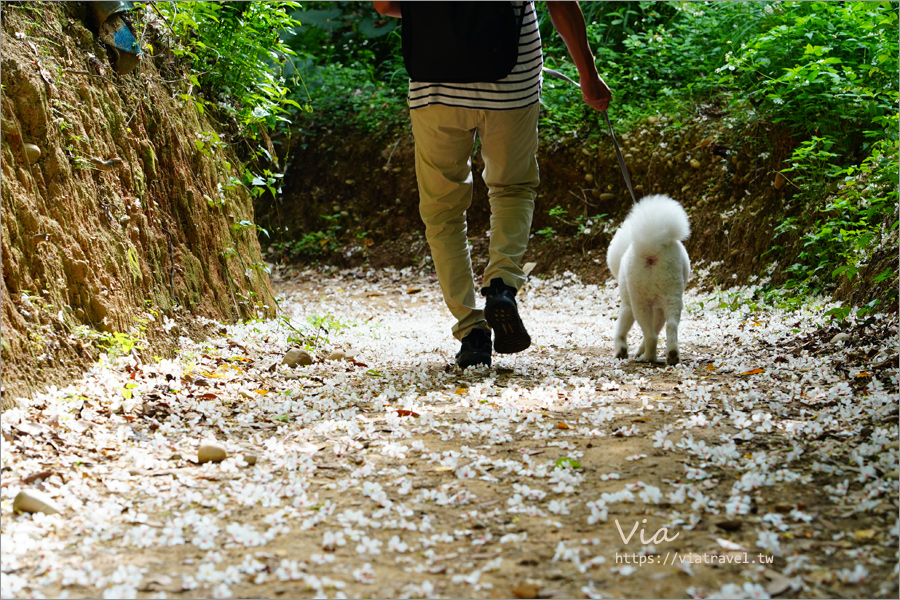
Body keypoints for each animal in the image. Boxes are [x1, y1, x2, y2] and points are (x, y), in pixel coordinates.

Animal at [608, 197, 692, 366]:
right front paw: (639, 350)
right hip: (672, 296)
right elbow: (657, 327)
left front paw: (621, 351)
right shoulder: (659, 309)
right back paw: (672, 355)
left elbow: (621, 329)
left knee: (651, 336)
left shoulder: (627, 305)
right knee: (671, 326)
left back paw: (648, 357)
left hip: (640, 302)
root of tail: (653, 247)